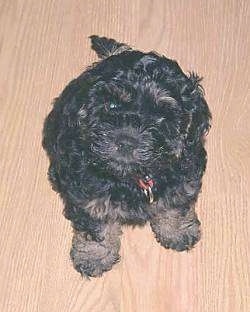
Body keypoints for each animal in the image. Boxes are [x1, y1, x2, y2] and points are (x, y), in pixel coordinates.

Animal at [42, 35, 211, 276]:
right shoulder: (88, 197)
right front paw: (94, 256)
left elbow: (175, 206)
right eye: (111, 105)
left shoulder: (185, 176)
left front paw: (177, 231)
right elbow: (98, 228)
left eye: (161, 116)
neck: (131, 178)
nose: (126, 141)